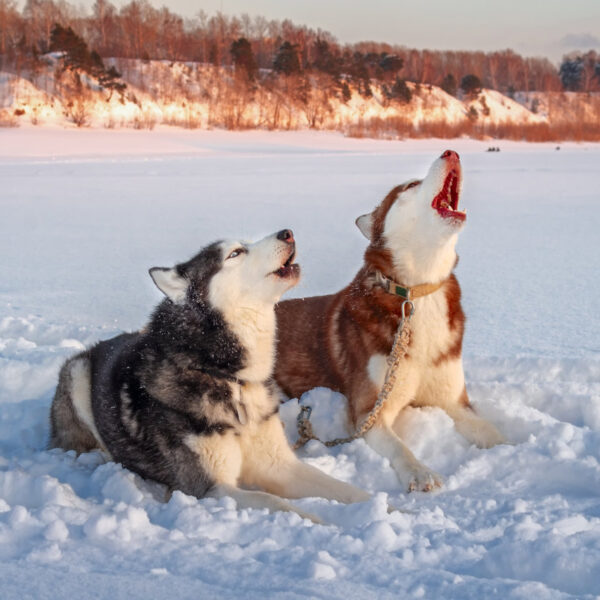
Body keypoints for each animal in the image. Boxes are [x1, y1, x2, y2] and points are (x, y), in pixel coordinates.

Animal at [50, 230, 370, 520]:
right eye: (235, 253)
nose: (287, 233)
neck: (227, 376)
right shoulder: (209, 488)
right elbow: (276, 502)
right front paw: (323, 522)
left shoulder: (279, 465)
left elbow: (347, 489)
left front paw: (378, 507)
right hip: (77, 374)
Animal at [276, 151, 506, 492]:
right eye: (410, 185)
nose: (451, 152)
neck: (417, 292)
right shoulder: (369, 412)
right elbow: (400, 447)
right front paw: (420, 472)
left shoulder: (455, 401)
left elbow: (491, 432)